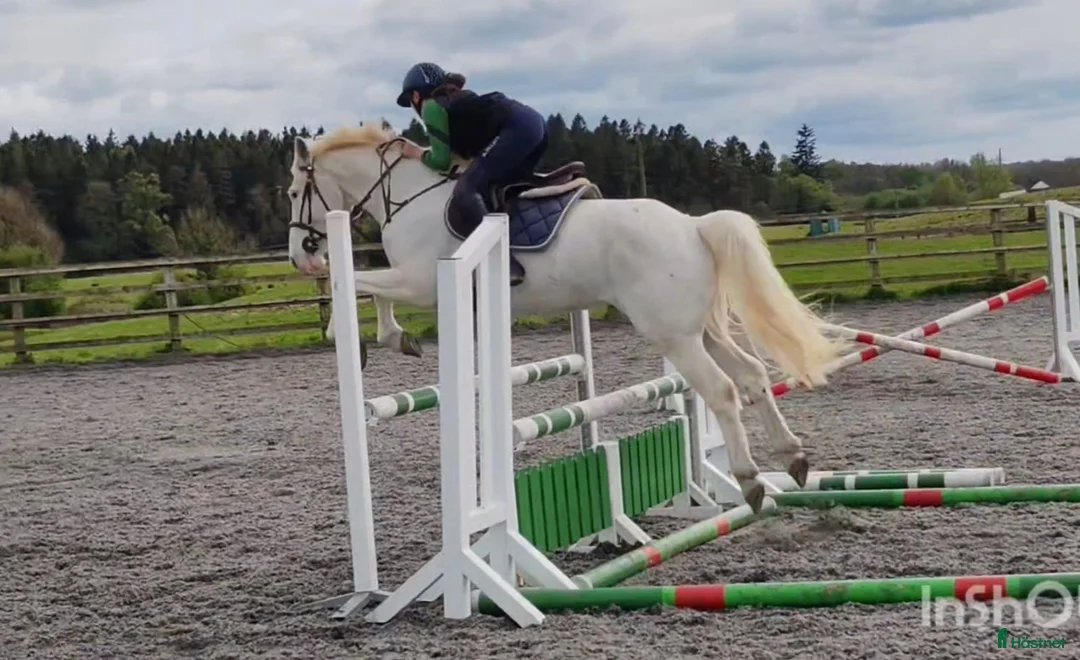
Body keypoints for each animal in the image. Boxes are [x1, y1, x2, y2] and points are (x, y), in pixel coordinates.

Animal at [284, 121, 847, 513]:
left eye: (292, 193)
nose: (300, 260)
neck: (406, 196)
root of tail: (693, 225)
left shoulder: (419, 281)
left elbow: (362, 284)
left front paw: (367, 337)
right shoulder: (414, 281)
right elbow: (367, 286)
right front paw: (394, 339)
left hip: (673, 334)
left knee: (722, 391)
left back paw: (751, 481)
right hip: (699, 329)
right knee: (751, 376)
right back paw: (793, 458)